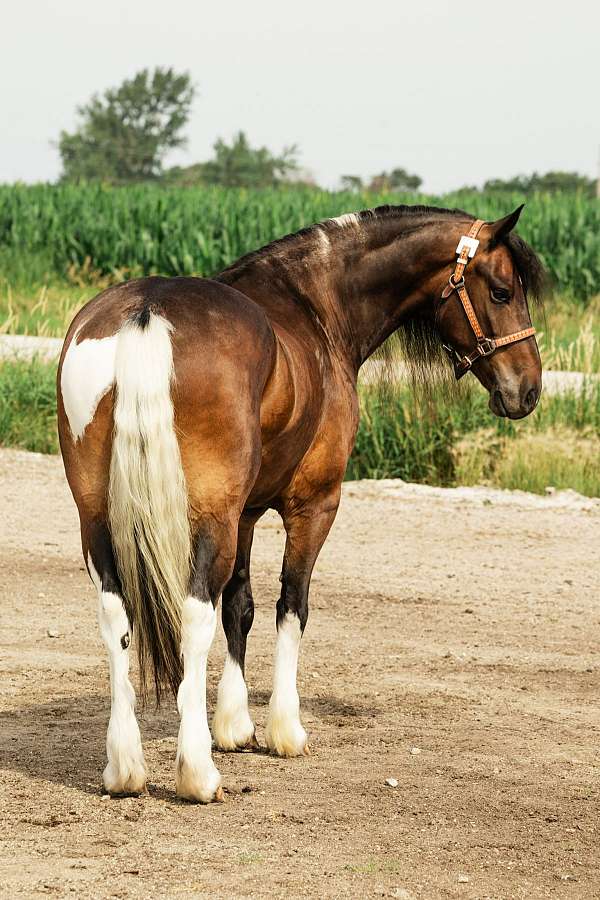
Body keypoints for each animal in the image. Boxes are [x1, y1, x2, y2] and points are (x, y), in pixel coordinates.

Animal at [57, 204, 544, 803]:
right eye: (501, 291)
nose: (529, 389)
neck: (315, 305)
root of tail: (146, 313)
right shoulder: (313, 504)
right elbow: (292, 605)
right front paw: (283, 730)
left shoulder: (245, 512)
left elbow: (240, 606)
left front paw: (234, 725)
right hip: (208, 519)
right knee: (195, 614)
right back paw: (197, 773)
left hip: (98, 518)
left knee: (117, 613)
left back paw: (125, 769)